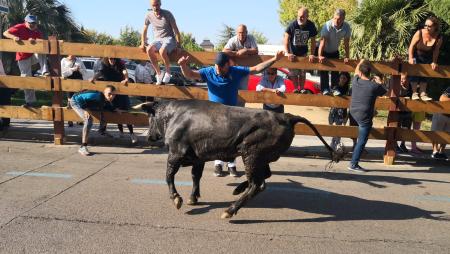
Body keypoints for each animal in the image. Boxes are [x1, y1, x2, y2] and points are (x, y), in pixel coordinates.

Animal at [135, 99, 342, 218]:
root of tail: (287, 117)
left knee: (258, 184)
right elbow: (196, 176)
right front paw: (193, 198)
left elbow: (168, 176)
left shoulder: (175, 154)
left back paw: (229, 210)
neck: (174, 115)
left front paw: (177, 199)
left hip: (251, 154)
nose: (149, 137)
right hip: (260, 156)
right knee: (264, 175)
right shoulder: (198, 158)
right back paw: (237, 190)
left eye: (150, 117)